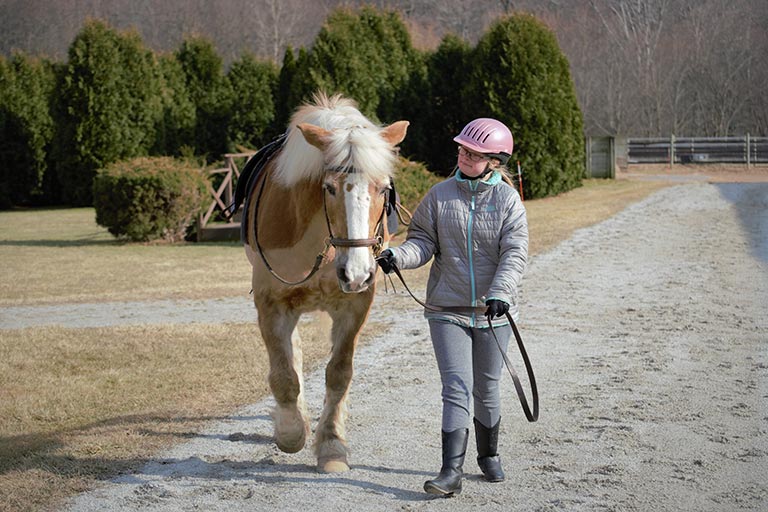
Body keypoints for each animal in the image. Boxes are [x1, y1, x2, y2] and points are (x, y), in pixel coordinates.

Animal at [240, 93, 408, 472]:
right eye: (329, 188)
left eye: (384, 188)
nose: (356, 272)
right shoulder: (271, 303)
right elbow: (284, 374)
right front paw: (291, 433)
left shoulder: (355, 304)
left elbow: (339, 373)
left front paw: (332, 444)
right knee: (293, 354)